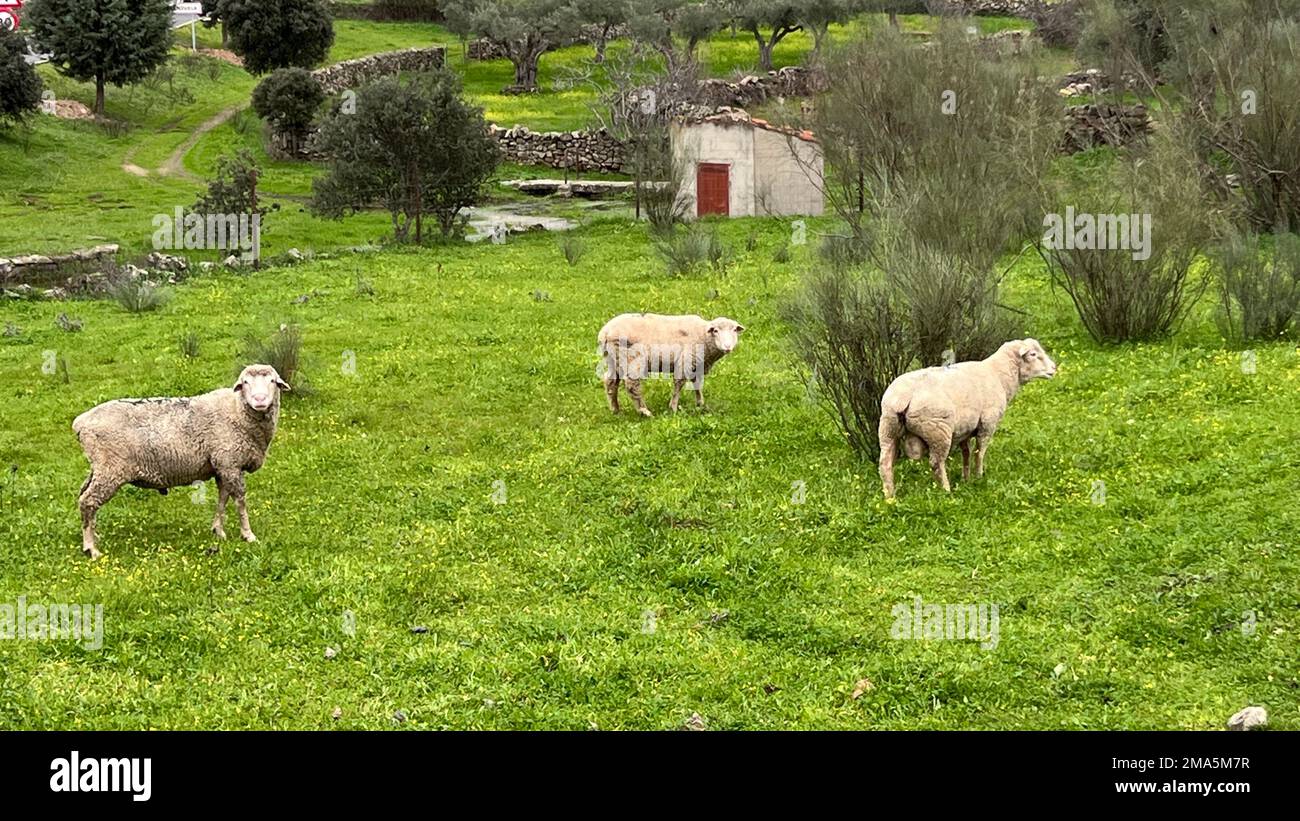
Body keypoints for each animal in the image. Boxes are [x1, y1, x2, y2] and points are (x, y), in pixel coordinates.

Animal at [72, 363, 291, 558]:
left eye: (272, 381)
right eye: (245, 382)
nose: (260, 400)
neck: (236, 410)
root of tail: (81, 423)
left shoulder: (222, 466)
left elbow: (222, 499)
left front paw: (218, 531)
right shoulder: (230, 463)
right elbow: (240, 501)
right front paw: (248, 535)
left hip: (99, 468)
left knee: (84, 495)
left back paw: (94, 536)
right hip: (111, 469)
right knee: (88, 501)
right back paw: (91, 549)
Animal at [595, 313, 748, 415]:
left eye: (734, 330)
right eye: (715, 330)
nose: (727, 347)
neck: (703, 336)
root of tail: (605, 332)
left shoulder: (697, 365)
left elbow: (697, 385)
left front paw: (700, 404)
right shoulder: (685, 361)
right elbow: (678, 385)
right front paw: (673, 407)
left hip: (614, 359)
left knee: (610, 382)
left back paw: (615, 409)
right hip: (632, 358)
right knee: (632, 385)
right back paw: (644, 411)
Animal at [873, 337, 1055, 496]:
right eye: (1033, 354)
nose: (1054, 368)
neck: (999, 376)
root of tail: (903, 396)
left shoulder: (965, 430)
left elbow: (966, 453)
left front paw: (966, 478)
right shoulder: (987, 425)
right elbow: (979, 452)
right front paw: (979, 476)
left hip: (888, 429)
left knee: (885, 464)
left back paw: (890, 496)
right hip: (938, 431)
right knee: (936, 463)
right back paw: (946, 492)